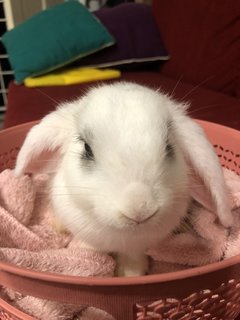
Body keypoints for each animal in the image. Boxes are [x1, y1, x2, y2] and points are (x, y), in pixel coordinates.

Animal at [14, 81, 232, 276]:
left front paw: (130, 274)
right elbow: (89, 246)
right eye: (87, 149)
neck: (124, 235)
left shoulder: (140, 245)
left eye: (169, 146)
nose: (139, 209)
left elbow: (133, 257)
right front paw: (85, 256)